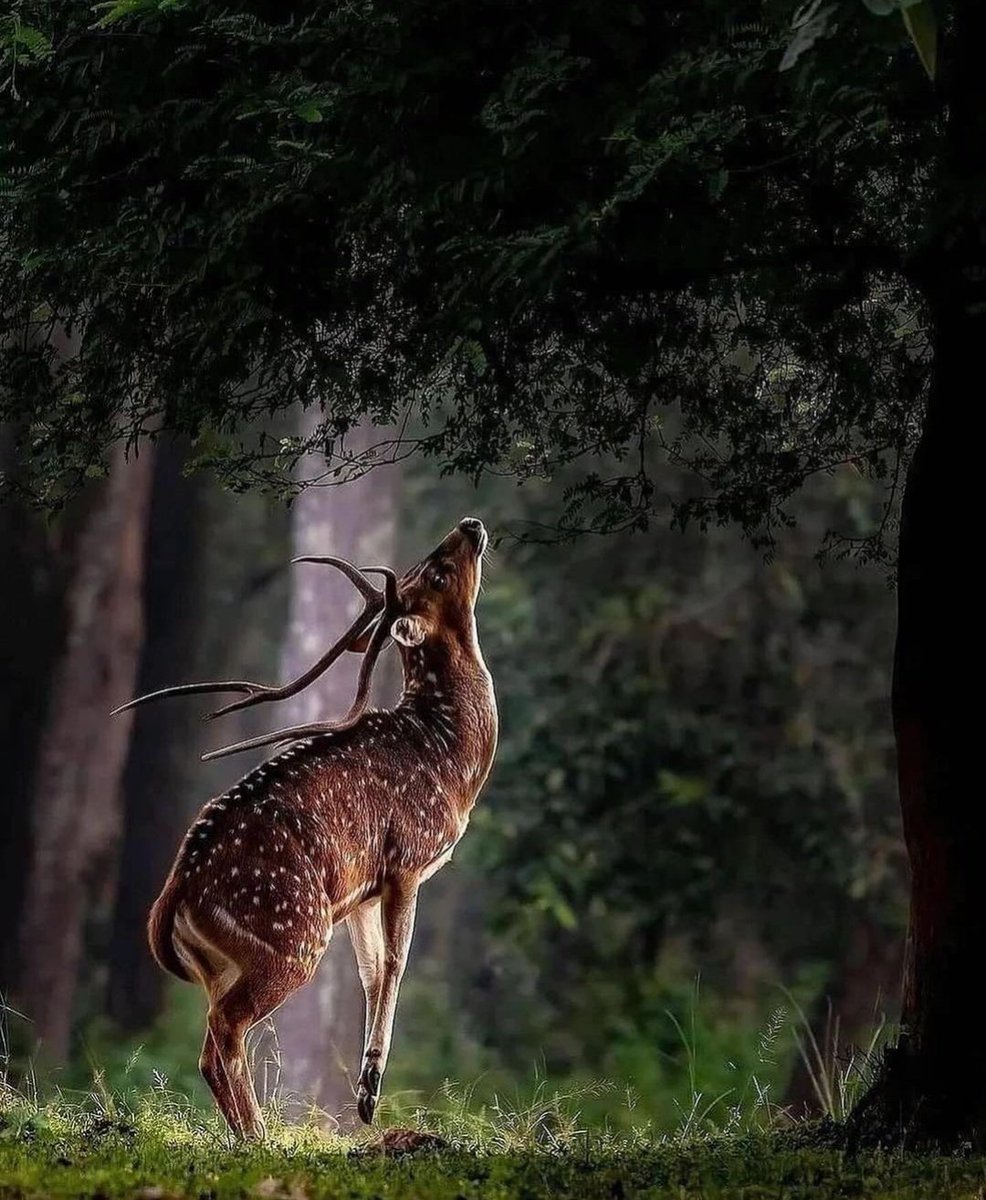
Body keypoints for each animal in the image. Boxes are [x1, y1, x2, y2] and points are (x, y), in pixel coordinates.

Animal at [113, 517, 497, 1138]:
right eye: (436, 571)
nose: (470, 524)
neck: (451, 758)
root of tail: (176, 892)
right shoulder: (407, 859)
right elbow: (397, 964)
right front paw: (369, 1096)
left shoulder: (364, 892)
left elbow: (371, 973)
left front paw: (365, 1092)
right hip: (293, 936)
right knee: (226, 1032)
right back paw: (259, 1138)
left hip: (223, 963)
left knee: (212, 1043)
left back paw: (247, 1135)